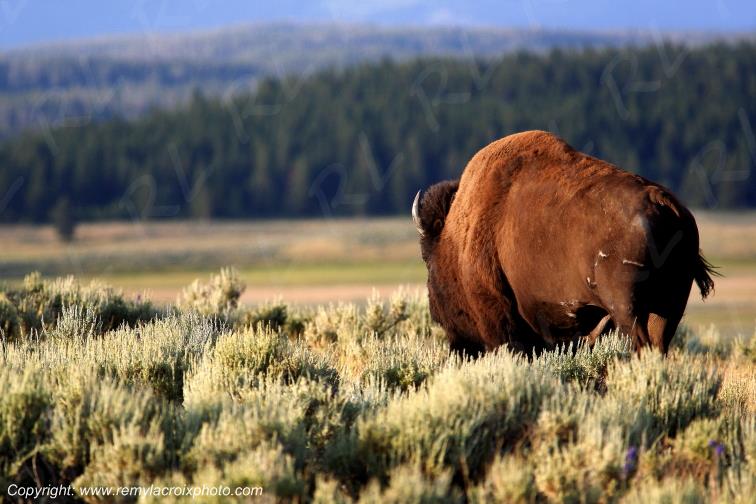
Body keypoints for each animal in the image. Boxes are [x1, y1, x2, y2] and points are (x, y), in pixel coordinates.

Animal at [413, 130, 715, 354]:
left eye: (427, 260)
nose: (436, 313)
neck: (456, 236)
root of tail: (662, 201)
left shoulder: (499, 320)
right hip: (668, 307)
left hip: (627, 308)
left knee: (640, 344)